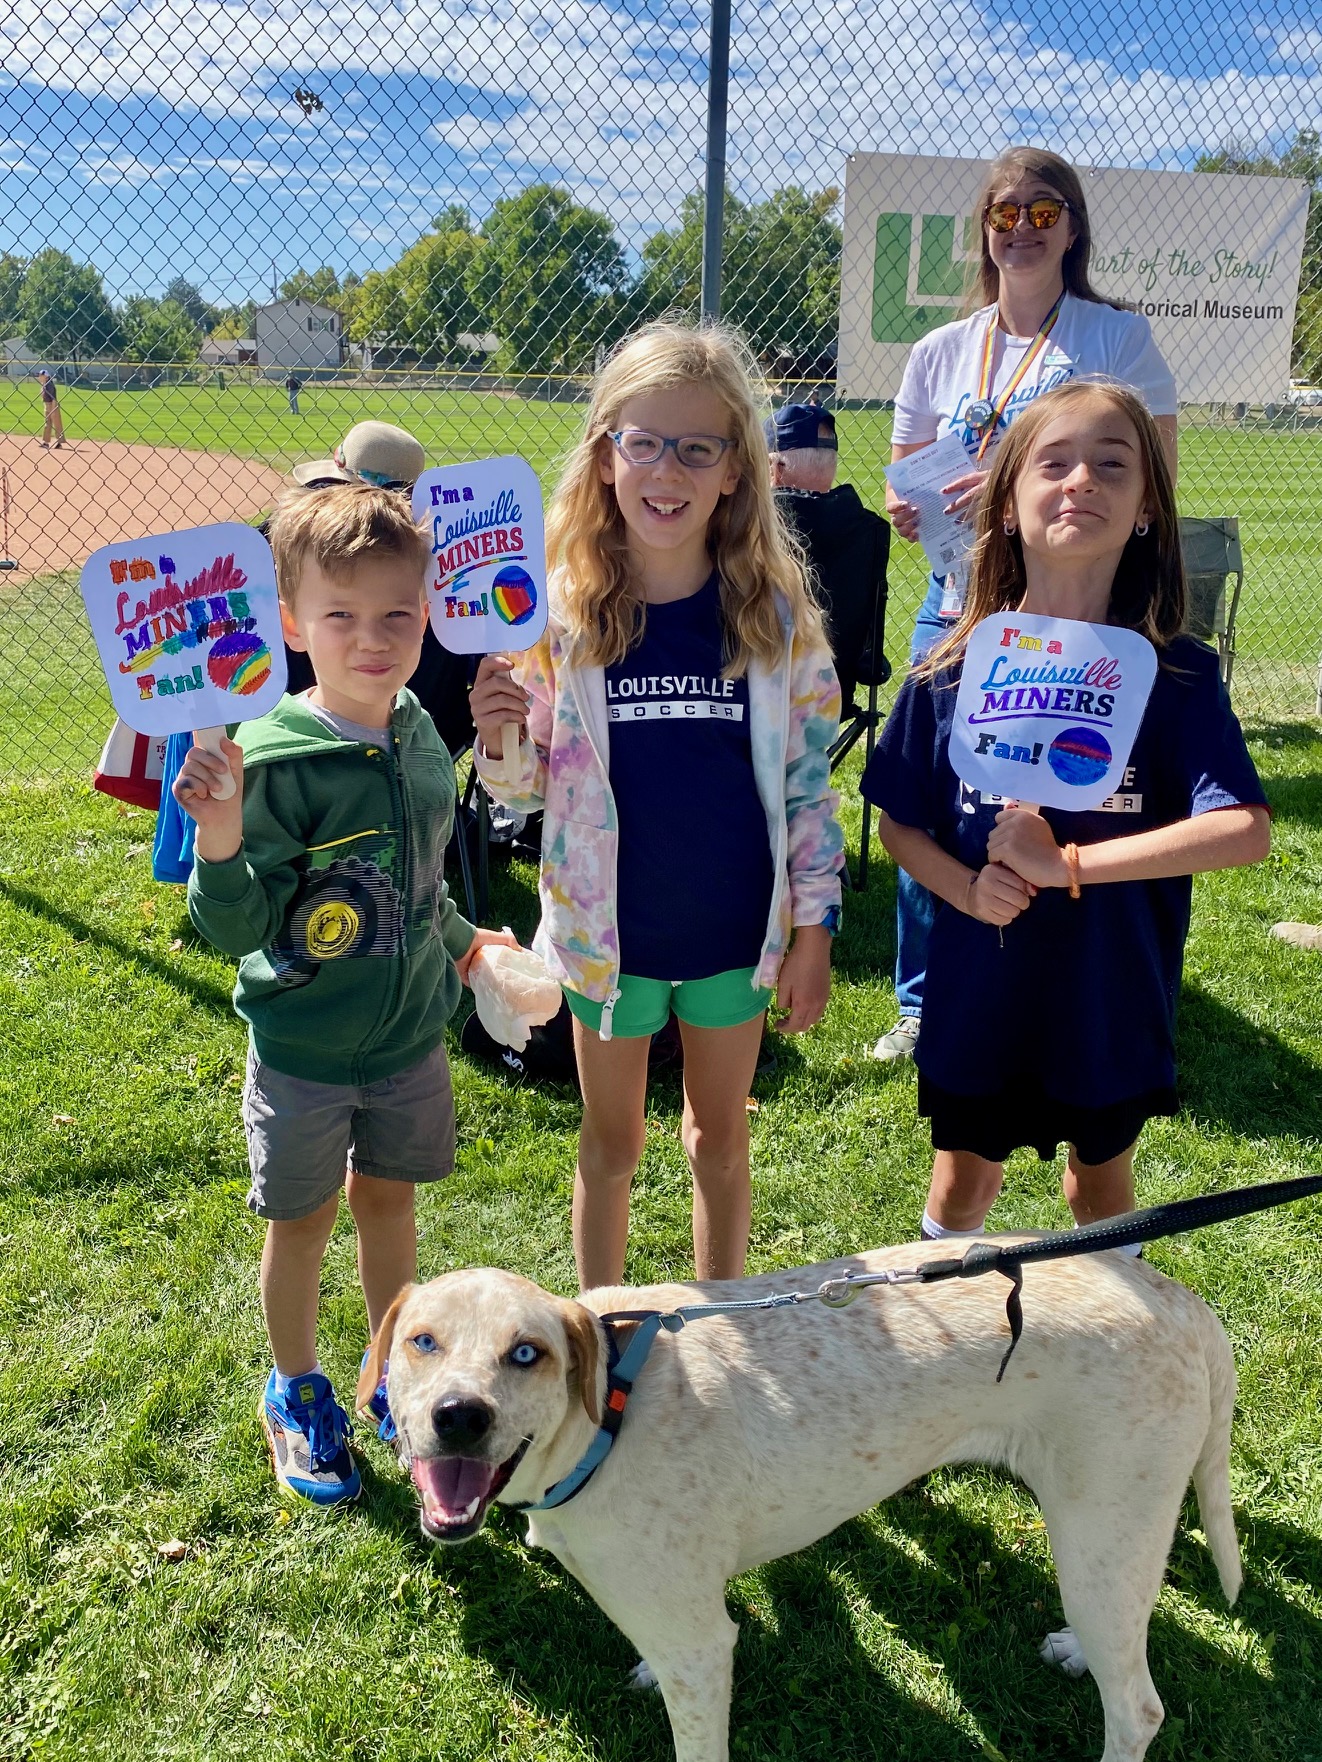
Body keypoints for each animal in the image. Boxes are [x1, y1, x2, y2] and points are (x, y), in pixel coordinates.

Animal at [359, 1240, 1240, 1762]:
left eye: (527, 1354)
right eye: (422, 1342)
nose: (460, 1416)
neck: (606, 1413)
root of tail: (1179, 1299)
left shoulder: (702, 1650)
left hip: (1100, 1532)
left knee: (1138, 1707)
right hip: (1105, 1547)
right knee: (1122, 1634)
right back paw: (1077, 1649)